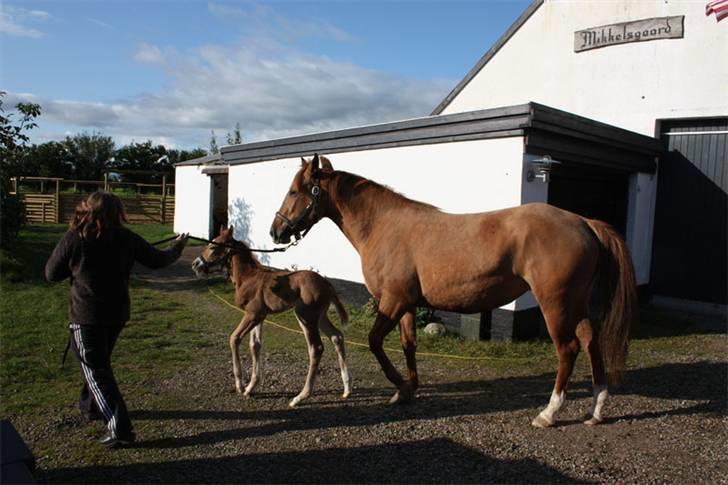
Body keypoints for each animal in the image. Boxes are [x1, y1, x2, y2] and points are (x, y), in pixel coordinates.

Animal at [191, 226, 352, 404]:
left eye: (213, 247)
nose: (195, 264)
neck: (248, 277)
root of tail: (327, 283)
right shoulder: (260, 316)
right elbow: (255, 345)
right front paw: (250, 387)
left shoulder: (253, 314)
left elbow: (234, 338)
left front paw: (240, 385)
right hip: (320, 316)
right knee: (337, 337)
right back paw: (347, 388)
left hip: (306, 316)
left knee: (316, 348)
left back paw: (300, 396)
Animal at [270, 155, 636, 428]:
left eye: (294, 191)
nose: (276, 232)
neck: (384, 225)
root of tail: (584, 222)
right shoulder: (407, 304)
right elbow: (409, 346)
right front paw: (407, 390)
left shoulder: (393, 301)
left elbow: (375, 342)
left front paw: (399, 384)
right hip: (578, 304)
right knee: (590, 341)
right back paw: (596, 408)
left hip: (555, 304)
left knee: (568, 349)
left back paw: (549, 412)